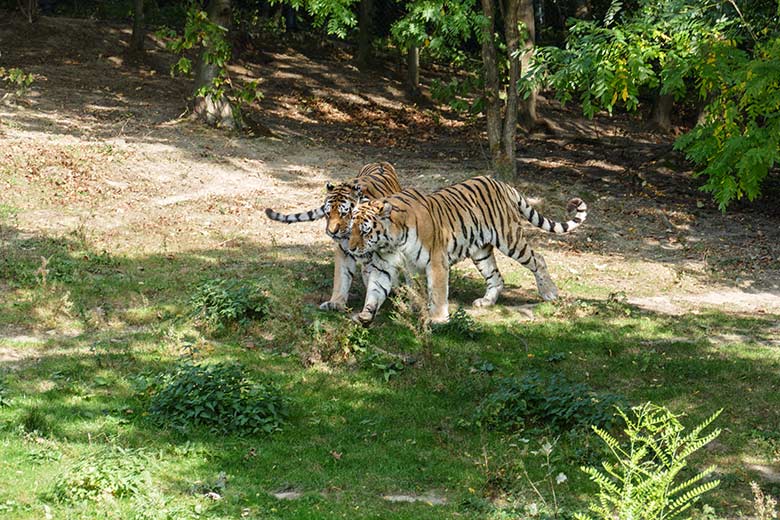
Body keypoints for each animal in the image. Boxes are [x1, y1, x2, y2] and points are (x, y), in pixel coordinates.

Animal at [266, 160, 402, 310]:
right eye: (328, 213)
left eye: (344, 213)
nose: (331, 231)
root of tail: (380, 162)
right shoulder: (343, 251)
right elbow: (342, 277)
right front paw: (336, 303)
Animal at [348, 177, 584, 328]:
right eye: (351, 228)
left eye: (365, 231)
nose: (351, 248)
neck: (392, 242)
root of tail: (501, 183)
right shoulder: (384, 266)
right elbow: (375, 290)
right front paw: (365, 315)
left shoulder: (436, 261)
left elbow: (438, 292)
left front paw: (438, 319)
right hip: (481, 252)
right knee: (496, 277)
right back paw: (486, 302)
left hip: (510, 239)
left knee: (538, 259)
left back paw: (549, 293)